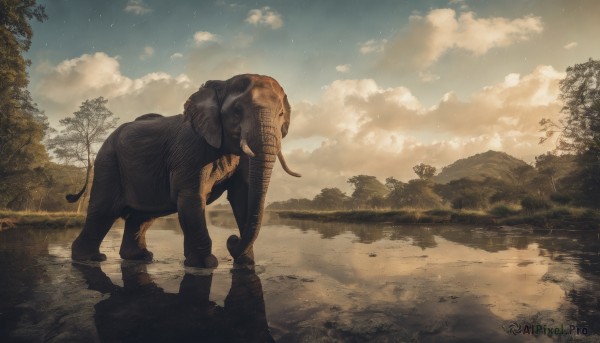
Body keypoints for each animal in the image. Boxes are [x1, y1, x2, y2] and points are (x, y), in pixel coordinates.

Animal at [70, 74, 300, 268]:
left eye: (281, 113)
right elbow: (192, 197)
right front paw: (207, 264)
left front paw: (245, 262)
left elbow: (242, 197)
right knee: (104, 210)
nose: (232, 240)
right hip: (108, 162)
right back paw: (90, 259)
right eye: (236, 112)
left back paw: (141, 257)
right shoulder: (190, 148)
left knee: (141, 217)